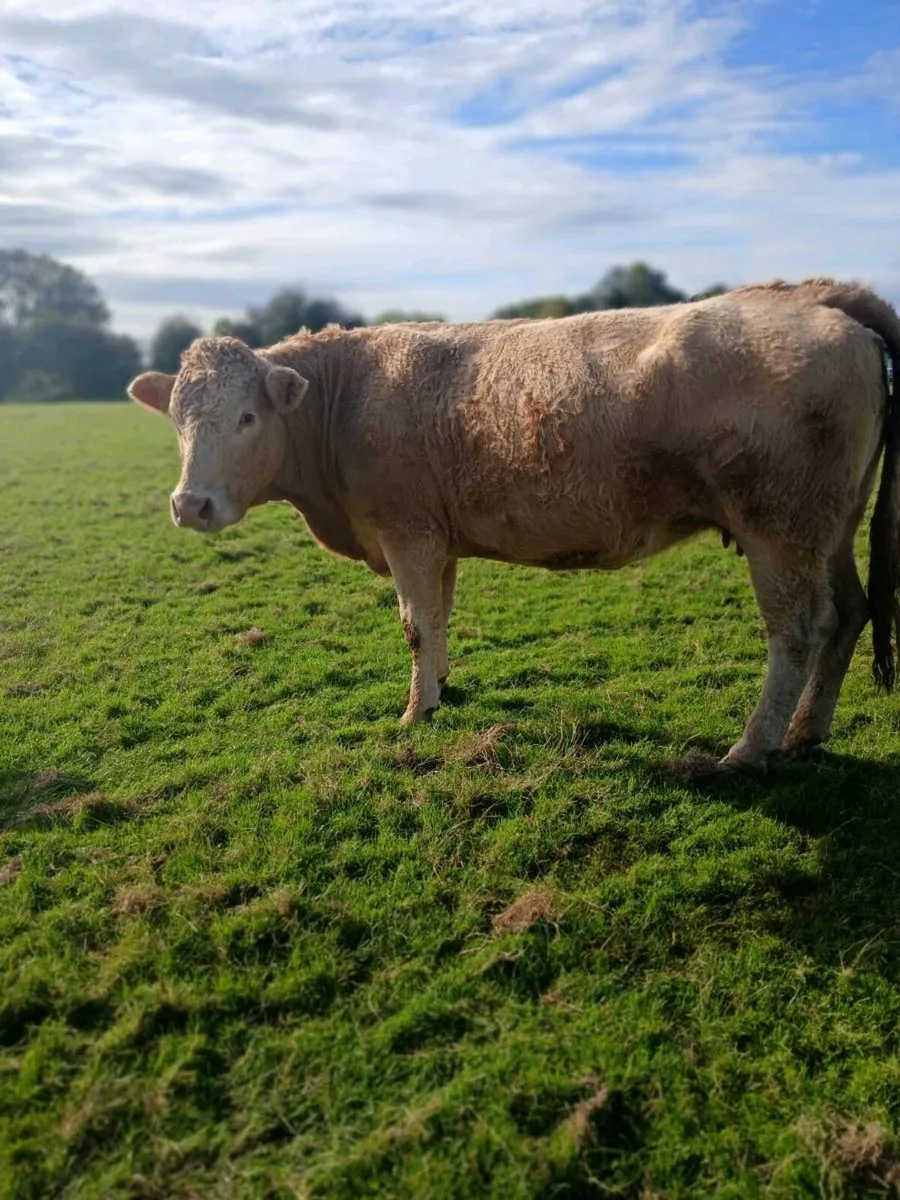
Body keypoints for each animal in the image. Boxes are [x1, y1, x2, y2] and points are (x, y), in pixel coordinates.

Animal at [128, 279, 900, 775]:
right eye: (177, 420)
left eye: (246, 417)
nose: (190, 505)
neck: (343, 400)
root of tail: (808, 295)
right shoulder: (436, 540)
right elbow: (438, 617)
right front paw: (441, 691)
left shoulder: (406, 531)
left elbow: (414, 623)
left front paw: (413, 714)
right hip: (832, 526)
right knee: (849, 613)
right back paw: (805, 734)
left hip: (781, 527)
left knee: (797, 631)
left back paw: (748, 750)